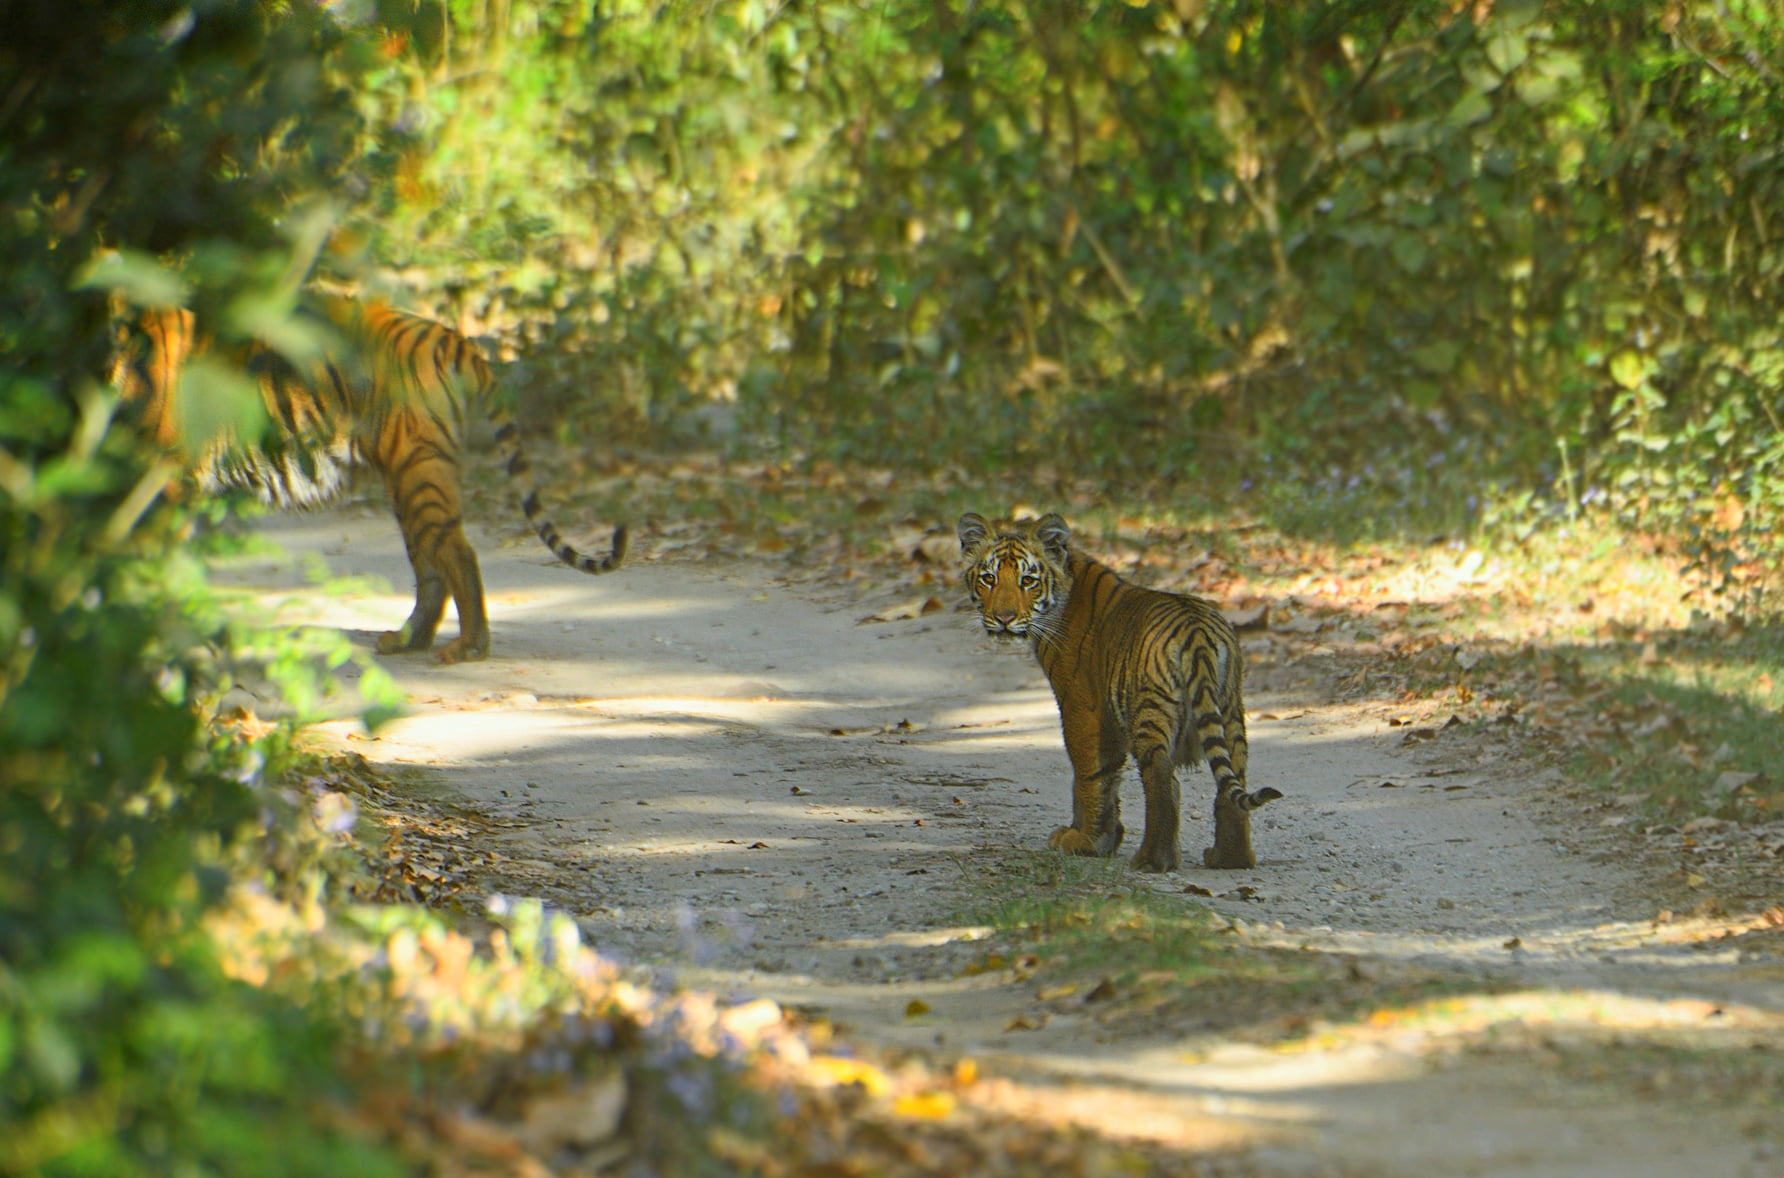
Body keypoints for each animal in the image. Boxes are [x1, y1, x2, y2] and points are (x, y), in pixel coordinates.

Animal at [113, 294, 627, 663]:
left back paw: (468, 648)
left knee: (457, 553)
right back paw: (407, 641)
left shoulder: (164, 481)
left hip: (418, 472)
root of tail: (451, 337)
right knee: (430, 565)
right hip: (409, 481)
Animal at [956, 510, 1277, 871]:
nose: (1004, 618)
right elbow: (1105, 778)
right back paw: (1230, 858)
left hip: (1151, 712)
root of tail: (1196, 631)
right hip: (1230, 710)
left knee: (1163, 778)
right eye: (988, 578)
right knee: (1233, 777)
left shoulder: (1079, 706)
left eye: (1028, 580)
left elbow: (1088, 776)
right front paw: (1102, 839)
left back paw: (1152, 860)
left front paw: (1084, 840)